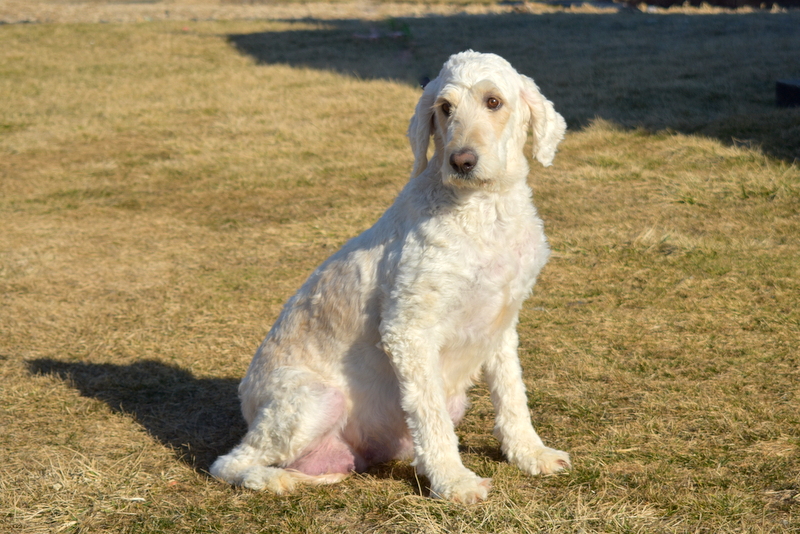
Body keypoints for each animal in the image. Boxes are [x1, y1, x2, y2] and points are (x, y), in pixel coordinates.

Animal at [209, 51, 572, 506]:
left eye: (493, 101)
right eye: (445, 108)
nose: (461, 161)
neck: (484, 209)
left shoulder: (502, 323)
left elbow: (511, 395)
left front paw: (531, 453)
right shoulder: (409, 329)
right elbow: (430, 416)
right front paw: (454, 481)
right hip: (312, 401)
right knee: (228, 462)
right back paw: (275, 480)